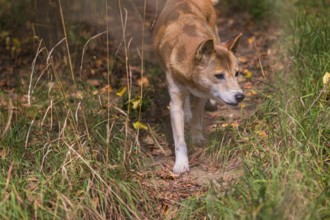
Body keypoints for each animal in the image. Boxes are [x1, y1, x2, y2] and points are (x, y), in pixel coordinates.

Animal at [152, 0, 245, 174]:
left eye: (237, 73)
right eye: (219, 75)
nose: (240, 96)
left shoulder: (203, 93)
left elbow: (197, 117)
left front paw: (196, 138)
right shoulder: (174, 101)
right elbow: (180, 141)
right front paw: (181, 164)